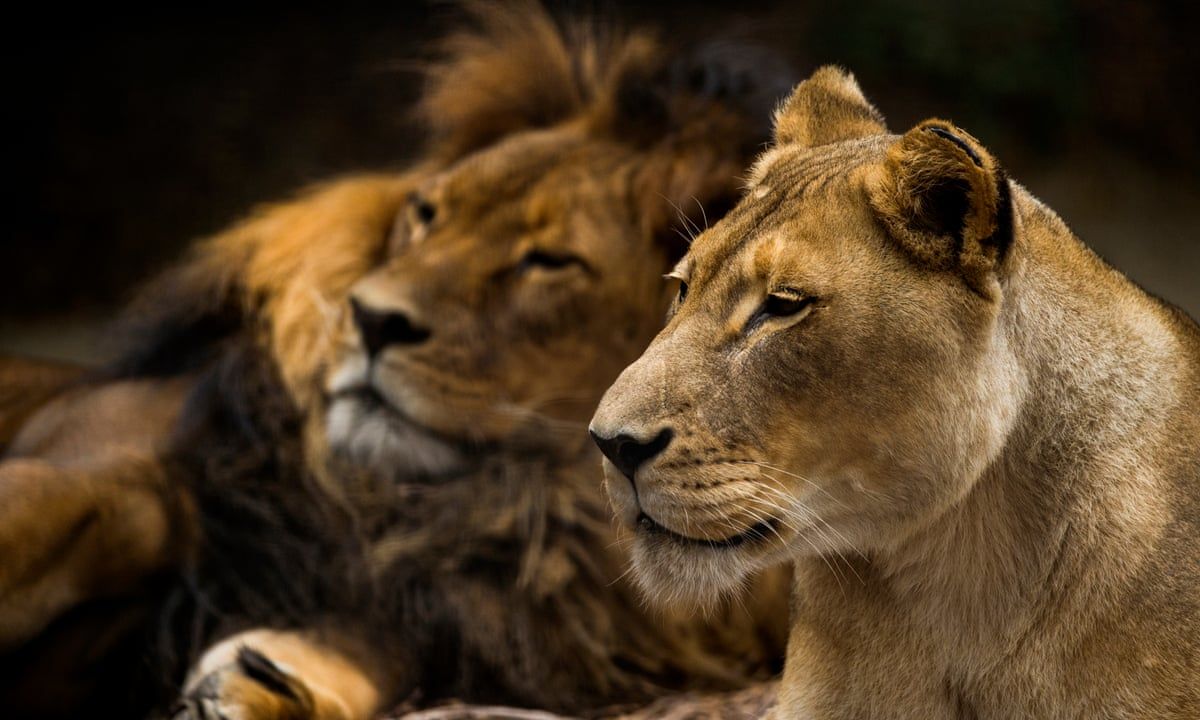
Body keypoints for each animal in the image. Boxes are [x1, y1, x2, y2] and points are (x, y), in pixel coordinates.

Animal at [0, 4, 793, 719]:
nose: (370, 318)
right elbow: (58, 511)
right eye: (428, 212)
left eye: (548, 261)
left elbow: (374, 647)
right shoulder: (135, 464)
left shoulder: (460, 607)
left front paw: (267, 680)